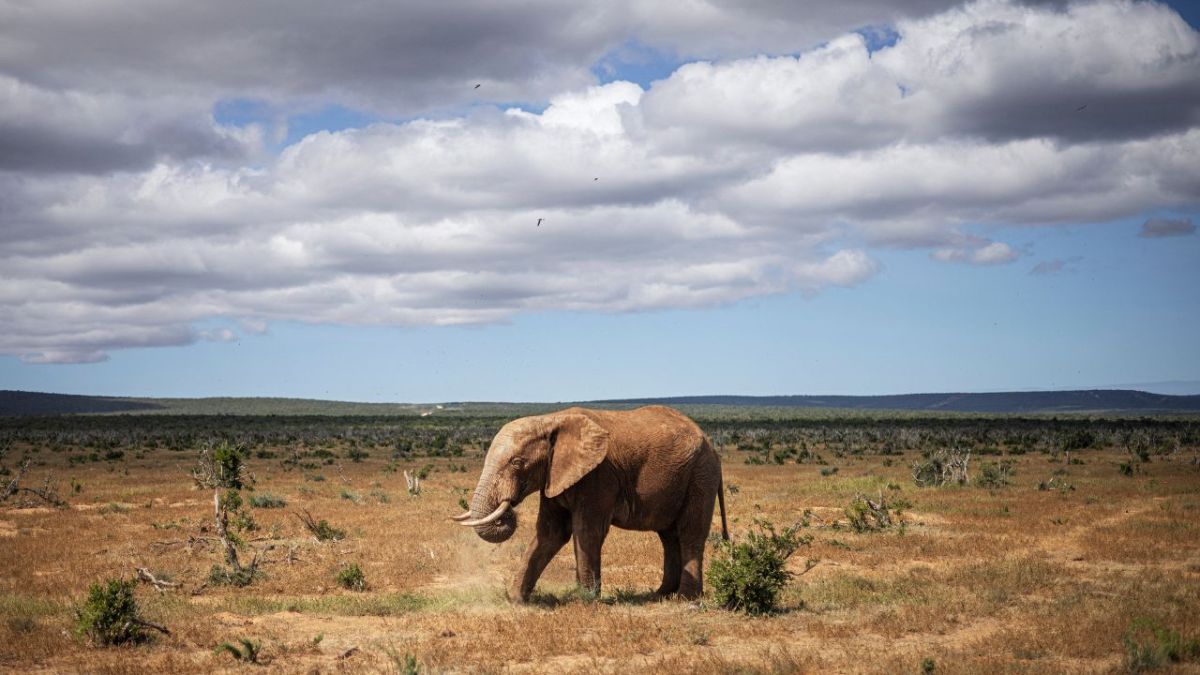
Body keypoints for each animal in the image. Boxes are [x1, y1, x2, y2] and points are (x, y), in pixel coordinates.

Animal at [453, 403, 724, 598]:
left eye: (517, 462)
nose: (508, 511)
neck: (550, 419)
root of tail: (710, 441)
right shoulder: (555, 476)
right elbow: (550, 533)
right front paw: (516, 600)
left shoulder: (598, 476)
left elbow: (586, 531)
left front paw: (585, 599)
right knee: (668, 536)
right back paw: (662, 594)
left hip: (701, 475)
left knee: (690, 533)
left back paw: (686, 598)